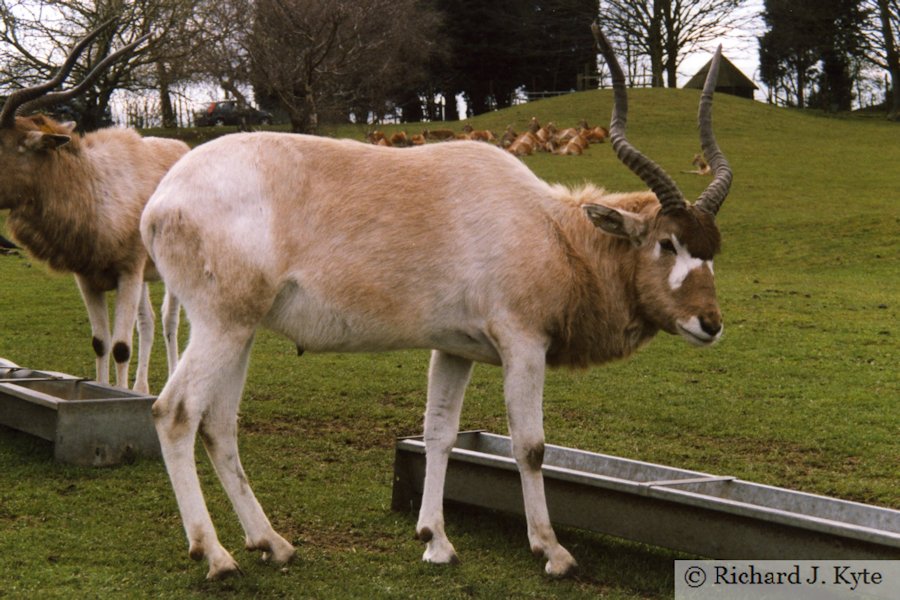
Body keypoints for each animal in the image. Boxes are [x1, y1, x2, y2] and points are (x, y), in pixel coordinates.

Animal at [0, 21, 190, 392]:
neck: (95, 186)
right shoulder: (88, 278)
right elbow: (101, 343)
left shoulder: (128, 273)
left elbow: (120, 347)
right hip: (145, 277)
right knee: (146, 322)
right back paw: (140, 389)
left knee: (169, 320)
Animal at [139, 24, 732, 580]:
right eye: (667, 243)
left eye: (713, 248)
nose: (710, 323)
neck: (549, 229)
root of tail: (160, 201)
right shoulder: (523, 344)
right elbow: (530, 445)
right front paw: (551, 550)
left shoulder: (454, 349)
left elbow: (438, 434)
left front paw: (435, 541)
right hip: (222, 324)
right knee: (176, 413)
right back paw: (215, 555)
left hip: (242, 329)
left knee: (219, 424)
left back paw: (273, 543)